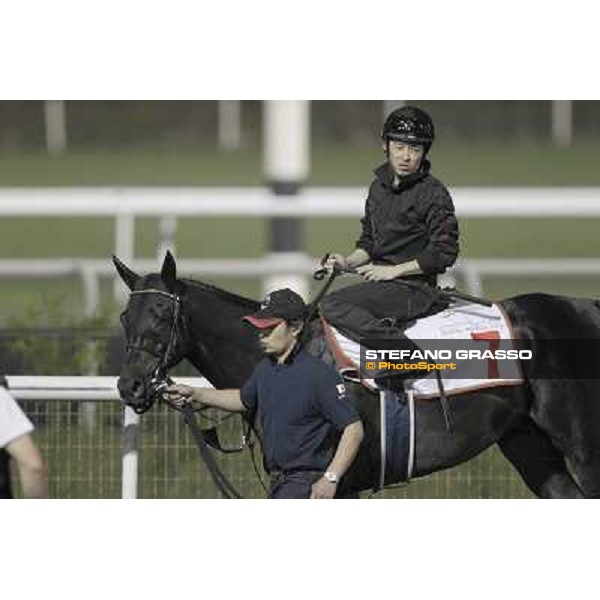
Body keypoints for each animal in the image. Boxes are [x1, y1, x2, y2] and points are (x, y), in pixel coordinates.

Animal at [113, 251, 600, 500]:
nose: (129, 385)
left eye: (161, 315)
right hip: (529, 445)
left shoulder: (336, 481)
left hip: (583, 447)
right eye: (124, 316)